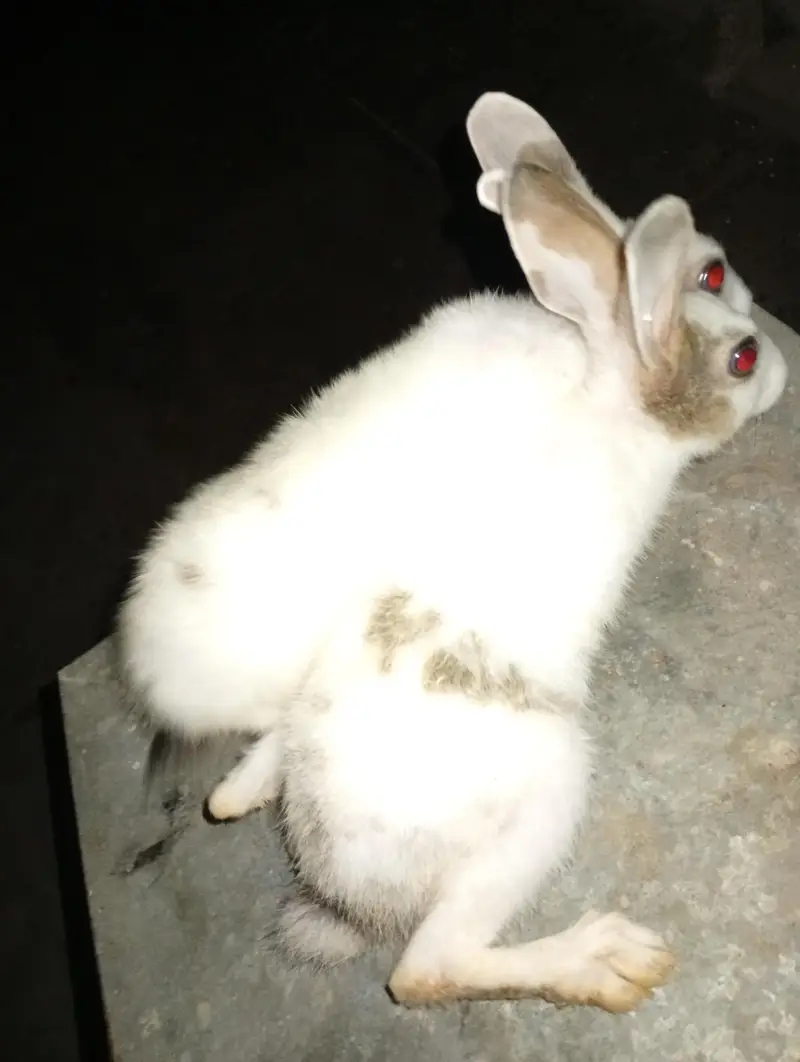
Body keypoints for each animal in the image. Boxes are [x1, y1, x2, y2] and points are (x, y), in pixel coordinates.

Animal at [117, 93, 788, 1013]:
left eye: (714, 275)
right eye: (741, 359)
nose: (783, 364)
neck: (608, 391)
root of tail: (340, 885)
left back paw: (243, 789)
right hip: (540, 806)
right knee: (427, 970)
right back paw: (609, 960)